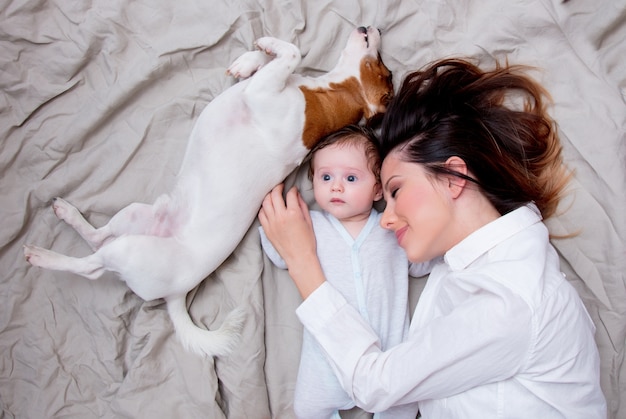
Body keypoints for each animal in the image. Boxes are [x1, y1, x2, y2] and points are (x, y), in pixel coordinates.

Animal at [25, 25, 394, 358]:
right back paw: (67, 213)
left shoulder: (265, 93)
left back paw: (42, 256)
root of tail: (176, 294)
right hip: (136, 214)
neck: (323, 93)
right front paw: (248, 60)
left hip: (131, 251)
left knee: (90, 265)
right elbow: (272, 62)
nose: (373, 26)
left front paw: (267, 45)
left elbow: (291, 51)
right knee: (97, 237)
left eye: (384, 70)